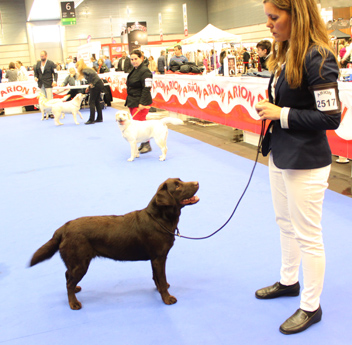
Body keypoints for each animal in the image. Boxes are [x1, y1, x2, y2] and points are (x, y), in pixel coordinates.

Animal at [30, 177, 199, 310]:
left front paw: (159, 290)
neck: (158, 219)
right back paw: (74, 303)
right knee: (69, 283)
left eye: (181, 180)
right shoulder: (159, 257)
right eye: (177, 186)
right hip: (80, 263)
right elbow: (162, 279)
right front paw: (167, 298)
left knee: (67, 276)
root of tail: (63, 228)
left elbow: (156, 277)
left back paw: (76, 290)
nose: (197, 182)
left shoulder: (154, 259)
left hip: (75, 263)